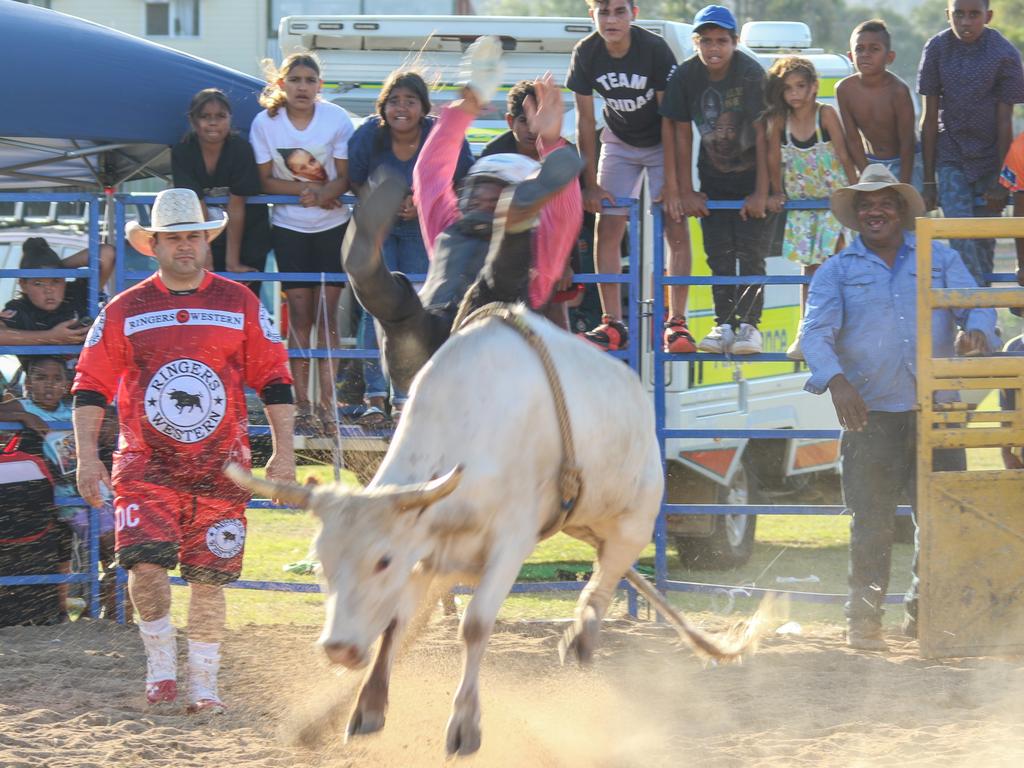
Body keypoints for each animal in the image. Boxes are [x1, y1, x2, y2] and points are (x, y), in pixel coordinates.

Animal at [232, 307, 761, 757]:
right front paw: (368, 706)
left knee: (604, 579)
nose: (338, 648)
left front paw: (465, 725)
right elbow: (395, 622)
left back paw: (582, 636)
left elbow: (476, 625)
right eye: (320, 564)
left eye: (382, 560)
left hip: (632, 520)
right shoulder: (426, 548)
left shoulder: (510, 541)